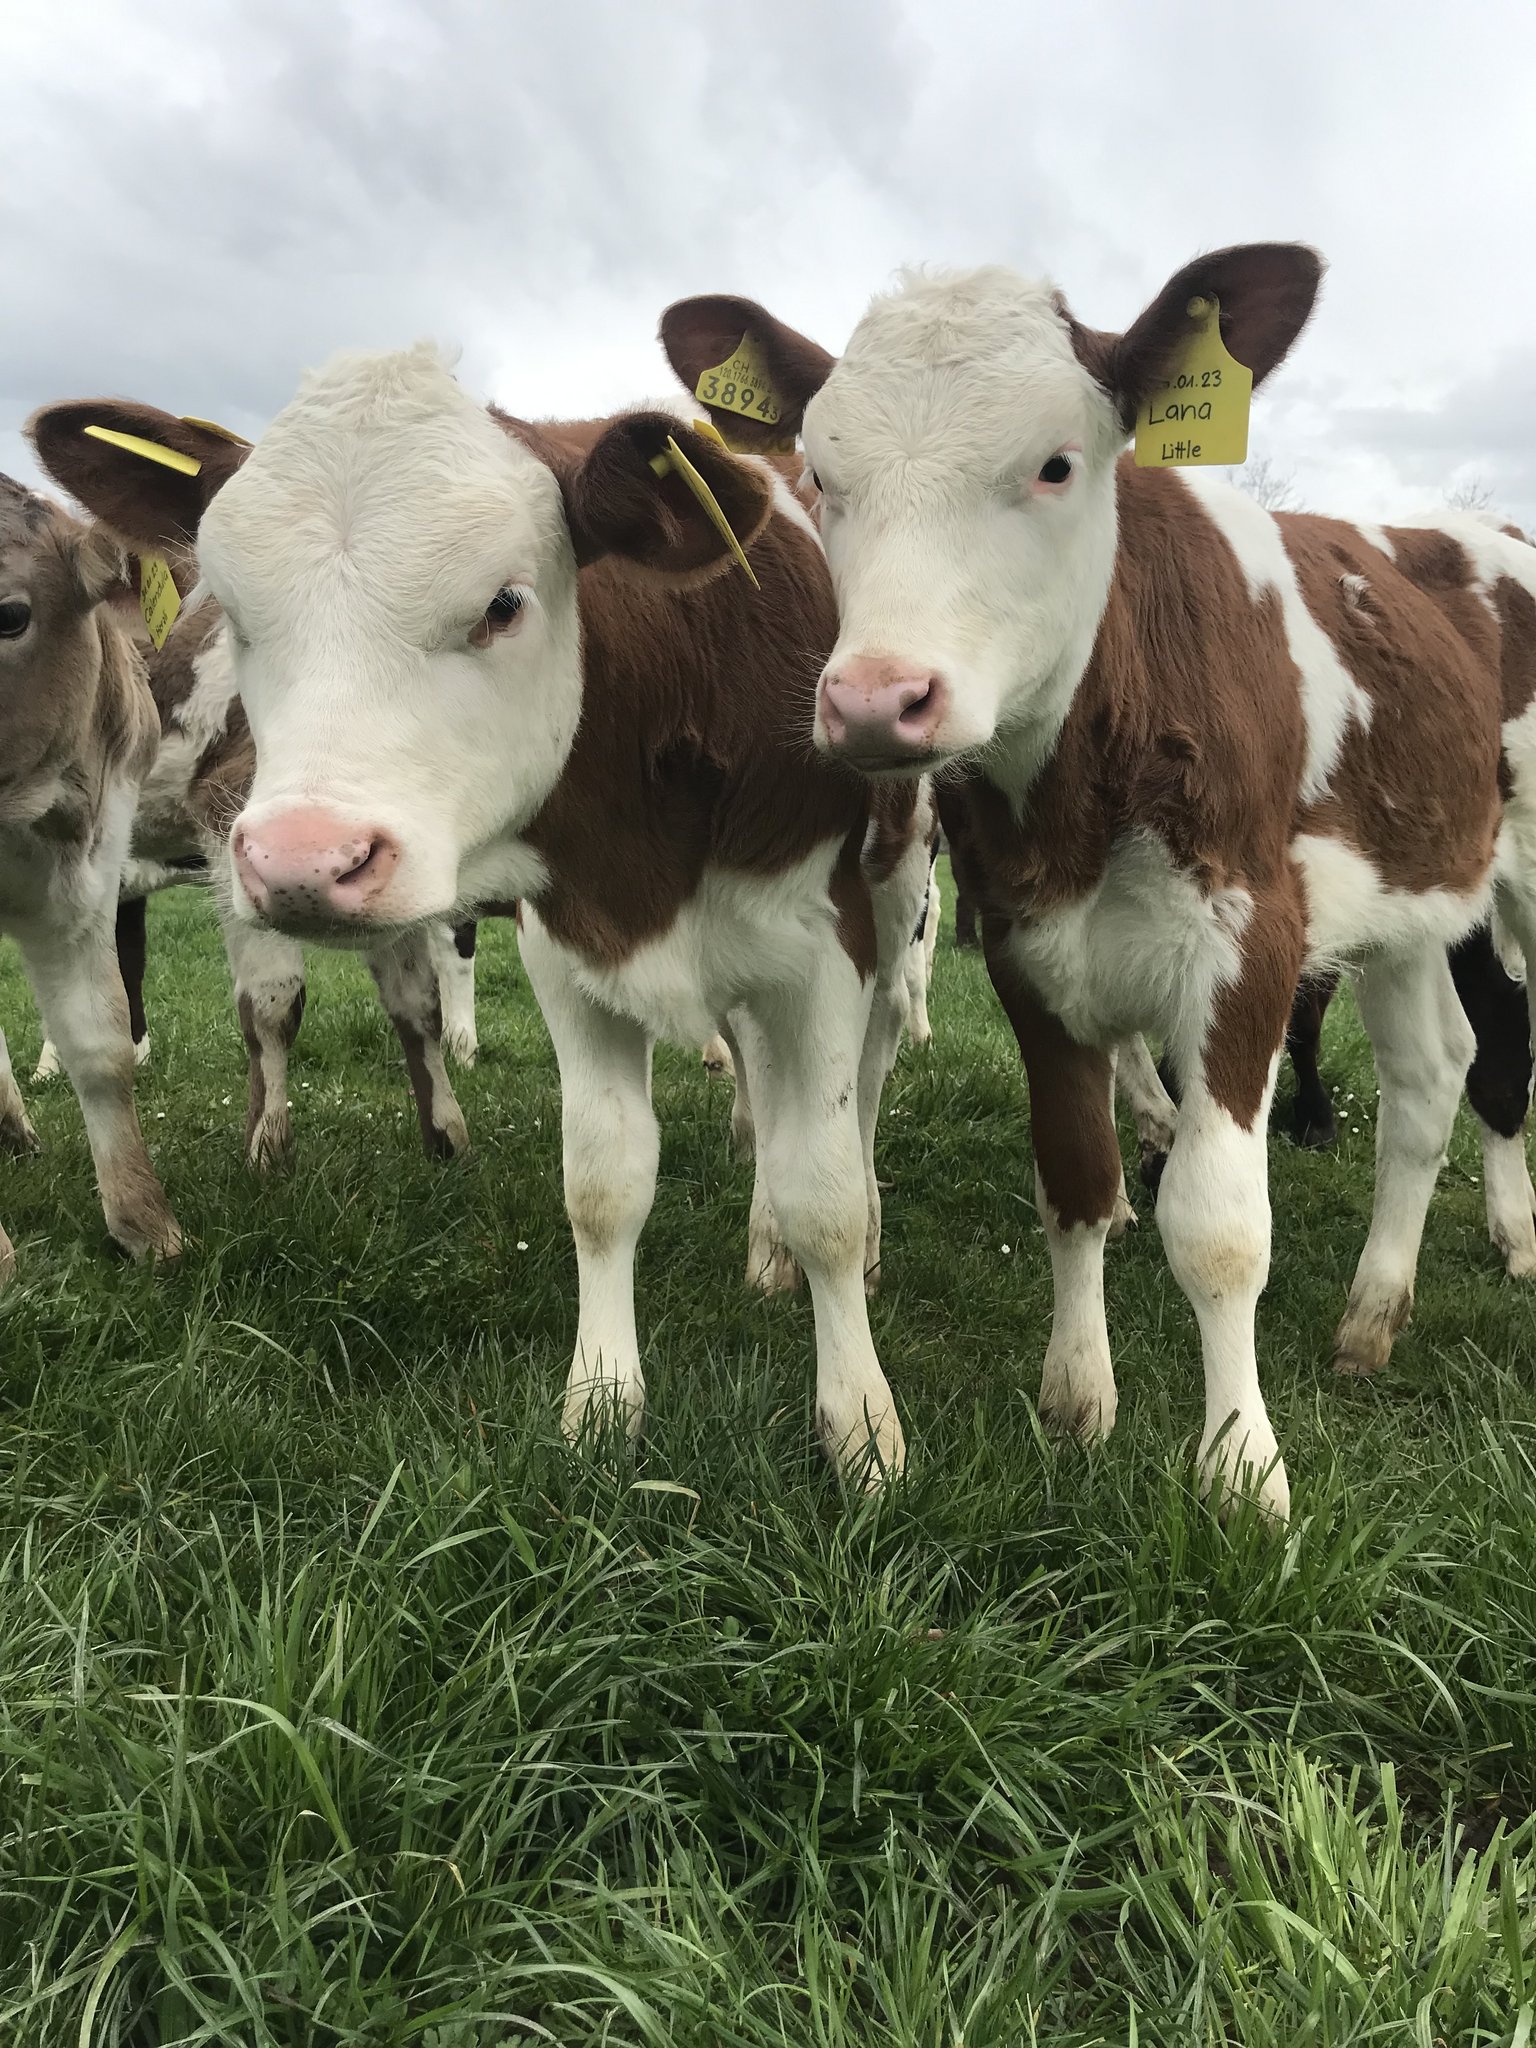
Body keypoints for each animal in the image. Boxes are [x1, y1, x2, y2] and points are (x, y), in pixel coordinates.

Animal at [32, 360, 933, 1478]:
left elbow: (827, 1196)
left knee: (860, 1079)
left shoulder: (819, 952)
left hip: (893, 899)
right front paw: (602, 1402)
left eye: (505, 602)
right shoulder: (571, 949)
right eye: (231, 613)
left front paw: (863, 1427)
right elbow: (602, 1181)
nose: (302, 860)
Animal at [659, 245, 1536, 1520]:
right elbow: (1076, 1173)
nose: (875, 698)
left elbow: (1219, 1225)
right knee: (1431, 1080)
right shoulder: (1026, 946)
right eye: (821, 476)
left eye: (1056, 463)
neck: (1086, 782)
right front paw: (1078, 1398)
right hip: (1413, 907)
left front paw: (1242, 1464)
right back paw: (1373, 1314)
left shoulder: (1252, 943)